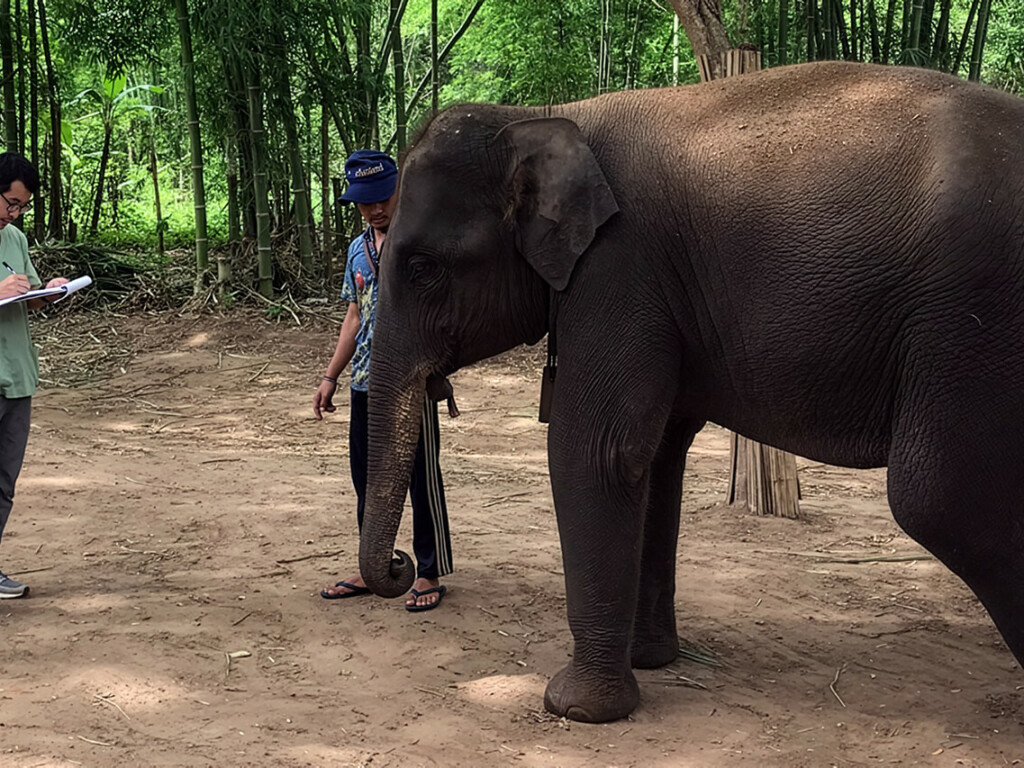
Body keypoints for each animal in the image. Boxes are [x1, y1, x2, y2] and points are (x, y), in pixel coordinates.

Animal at [356, 60, 1024, 723]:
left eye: (422, 268)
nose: (399, 567)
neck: (547, 115)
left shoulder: (619, 269)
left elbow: (598, 450)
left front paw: (577, 707)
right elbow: (655, 457)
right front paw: (653, 660)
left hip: (971, 319)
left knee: (938, 498)